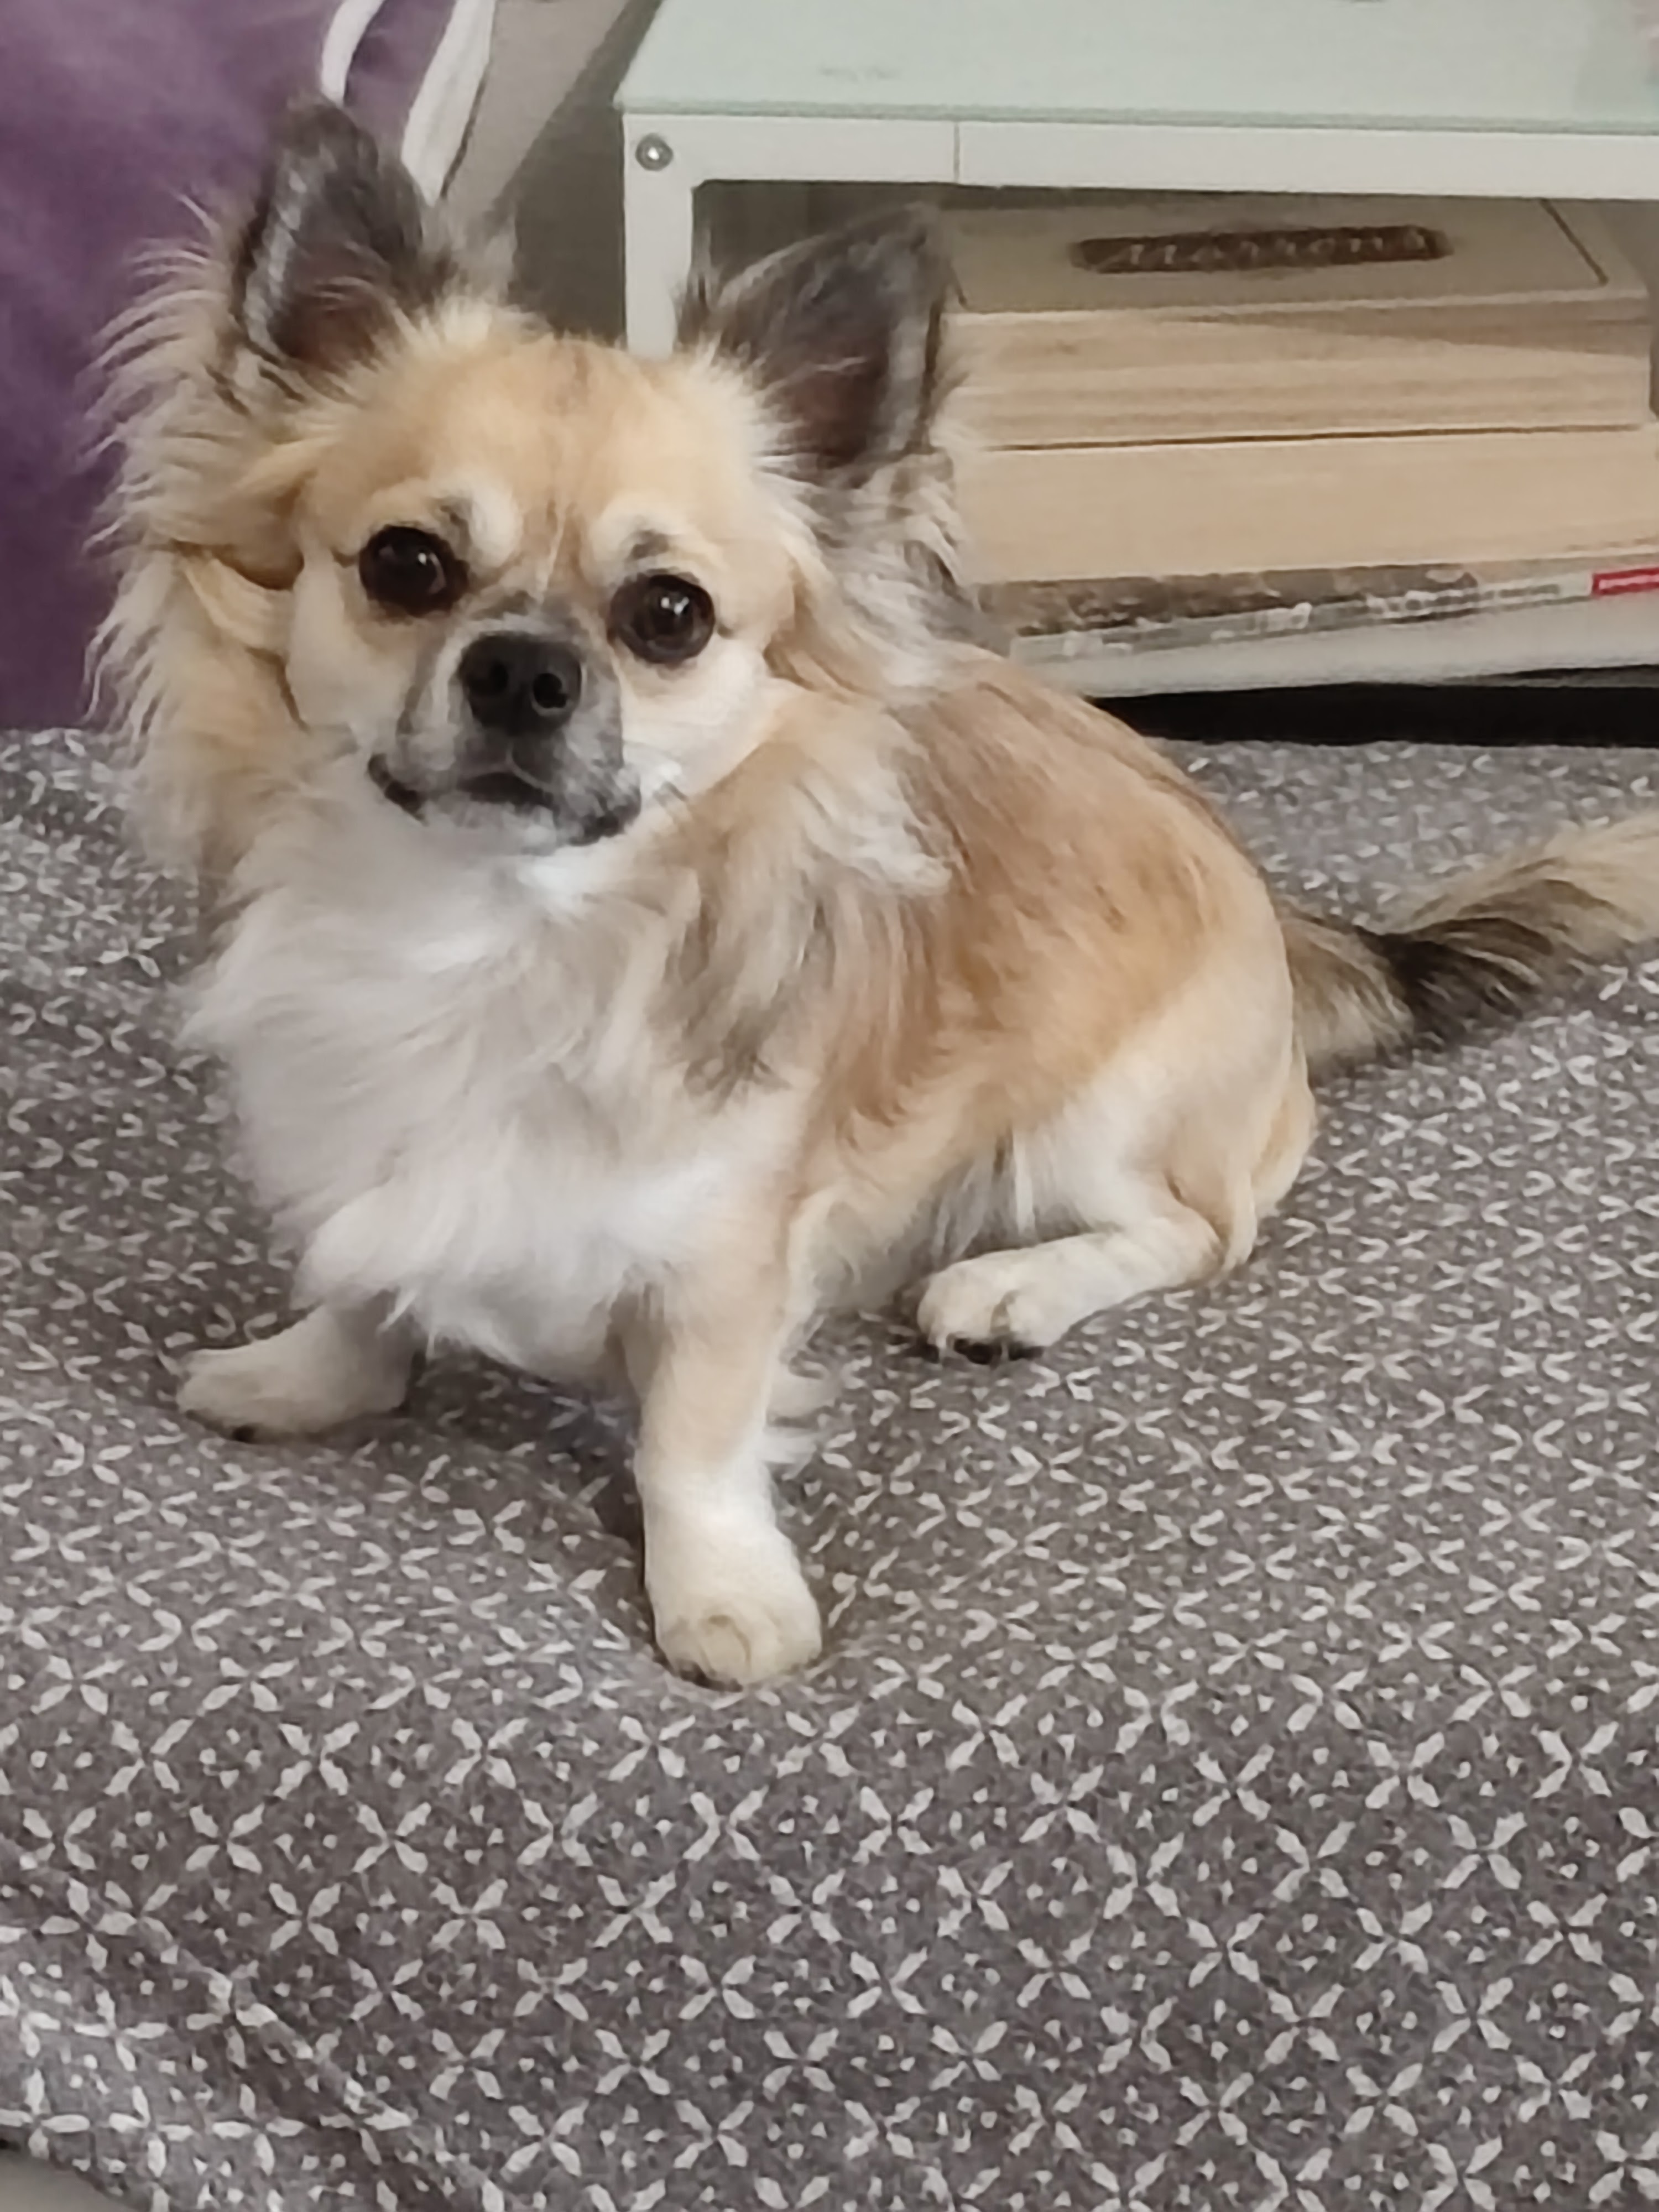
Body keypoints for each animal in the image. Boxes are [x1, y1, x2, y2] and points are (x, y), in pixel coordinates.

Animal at [102, 102, 1659, 1683]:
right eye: (406, 565)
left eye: (669, 615)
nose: (524, 669)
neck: (496, 932)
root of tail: (1290, 930)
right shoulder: (353, 1141)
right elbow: (363, 1278)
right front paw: (309, 1375)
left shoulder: (730, 1252)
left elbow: (691, 1436)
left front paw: (721, 1590)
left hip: (1095, 1114)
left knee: (1198, 1229)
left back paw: (1007, 1290)